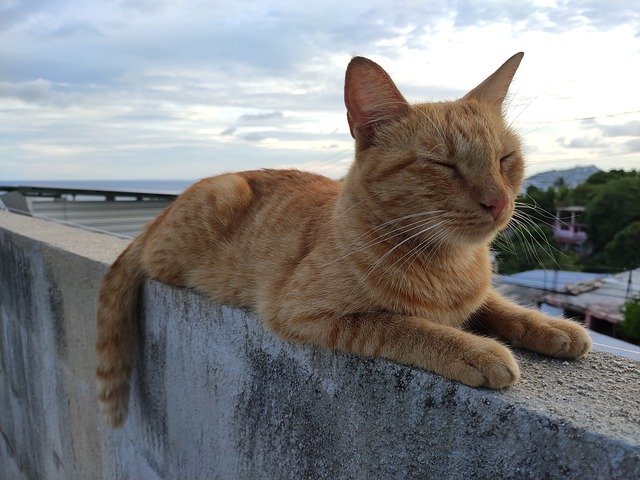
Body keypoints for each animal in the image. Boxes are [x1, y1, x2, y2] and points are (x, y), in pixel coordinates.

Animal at [97, 52, 592, 428]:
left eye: (506, 158)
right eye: (443, 165)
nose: (498, 202)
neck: (448, 262)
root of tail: (160, 214)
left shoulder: (475, 295)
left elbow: (497, 305)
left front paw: (553, 327)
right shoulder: (303, 312)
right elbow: (405, 325)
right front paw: (476, 349)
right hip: (218, 202)